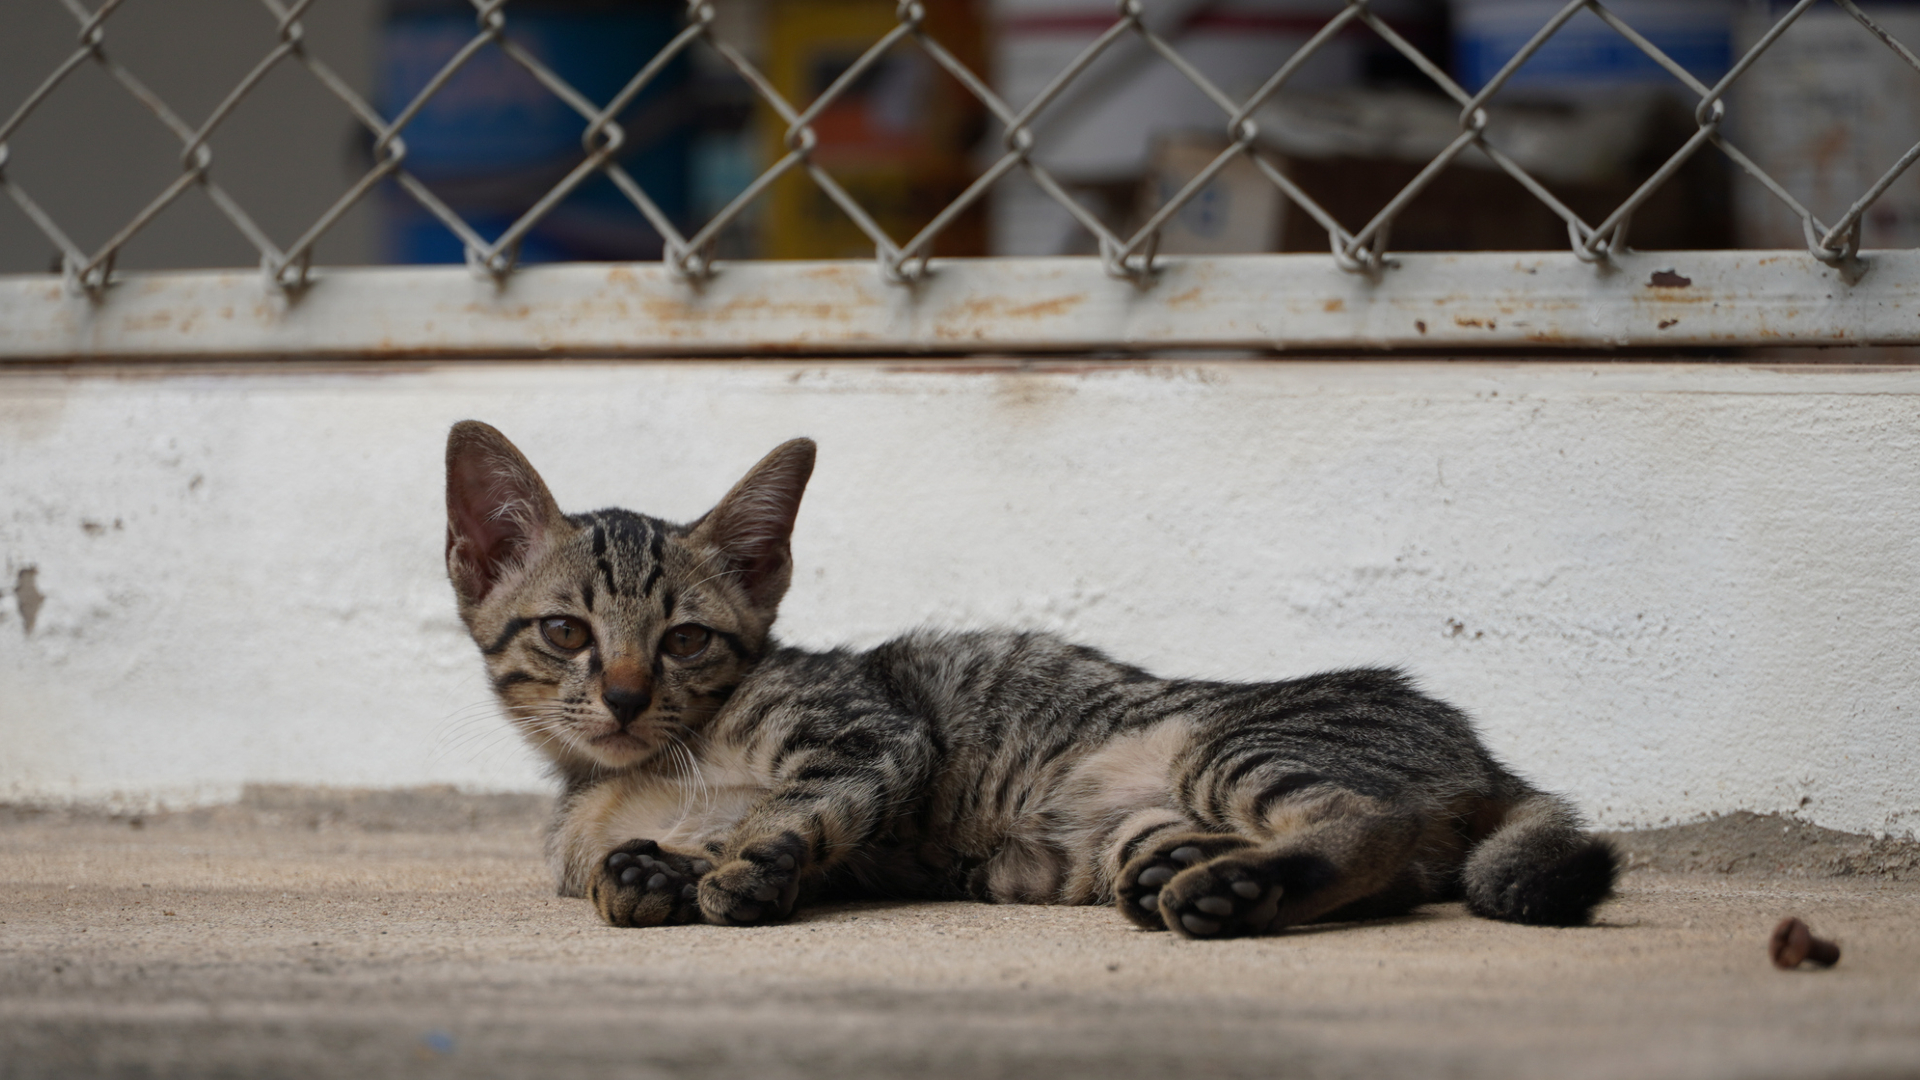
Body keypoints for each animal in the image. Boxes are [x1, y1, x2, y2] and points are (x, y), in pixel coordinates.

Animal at [441, 420, 1612, 933]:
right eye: (565, 632)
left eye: (683, 641)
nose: (626, 697)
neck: (650, 769)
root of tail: (1479, 749)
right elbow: (678, 851)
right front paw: (654, 872)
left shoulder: (872, 739)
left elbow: (795, 810)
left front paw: (737, 863)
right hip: (1142, 820)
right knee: (1393, 866)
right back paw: (1205, 874)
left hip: (1240, 743)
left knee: (1370, 827)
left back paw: (1235, 888)